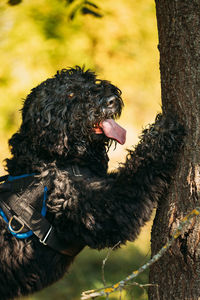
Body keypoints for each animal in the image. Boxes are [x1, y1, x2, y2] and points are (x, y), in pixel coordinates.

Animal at [0, 67, 184, 298]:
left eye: (90, 79)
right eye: (70, 94)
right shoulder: (106, 210)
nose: (111, 99)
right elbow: (138, 172)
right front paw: (163, 132)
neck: (52, 160)